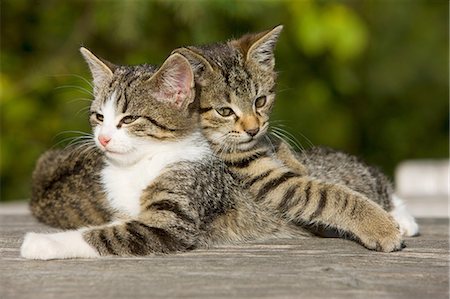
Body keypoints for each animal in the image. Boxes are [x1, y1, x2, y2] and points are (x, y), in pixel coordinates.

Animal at [22, 47, 298, 260]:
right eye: (99, 117)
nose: (103, 138)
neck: (138, 165)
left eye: (129, 119)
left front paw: (42, 242)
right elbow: (111, 224)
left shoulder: (176, 215)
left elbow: (107, 235)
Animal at [174, 25, 406, 252]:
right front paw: (381, 227)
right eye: (224, 111)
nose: (252, 130)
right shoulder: (265, 179)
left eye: (260, 101)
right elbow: (328, 195)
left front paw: (294, 160)